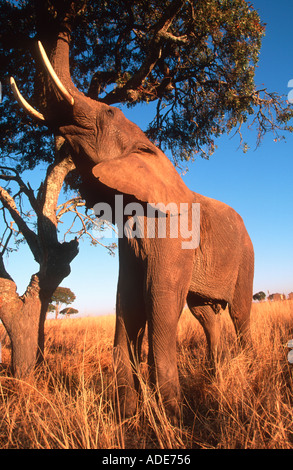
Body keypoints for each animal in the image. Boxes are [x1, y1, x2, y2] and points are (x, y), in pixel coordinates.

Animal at [10, 40, 253, 420]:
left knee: (240, 313)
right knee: (206, 316)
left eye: (110, 112)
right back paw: (217, 376)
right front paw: (127, 415)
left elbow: (158, 301)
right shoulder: (130, 240)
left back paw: (246, 373)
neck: (149, 148)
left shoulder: (173, 235)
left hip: (246, 255)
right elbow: (128, 300)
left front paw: (171, 417)